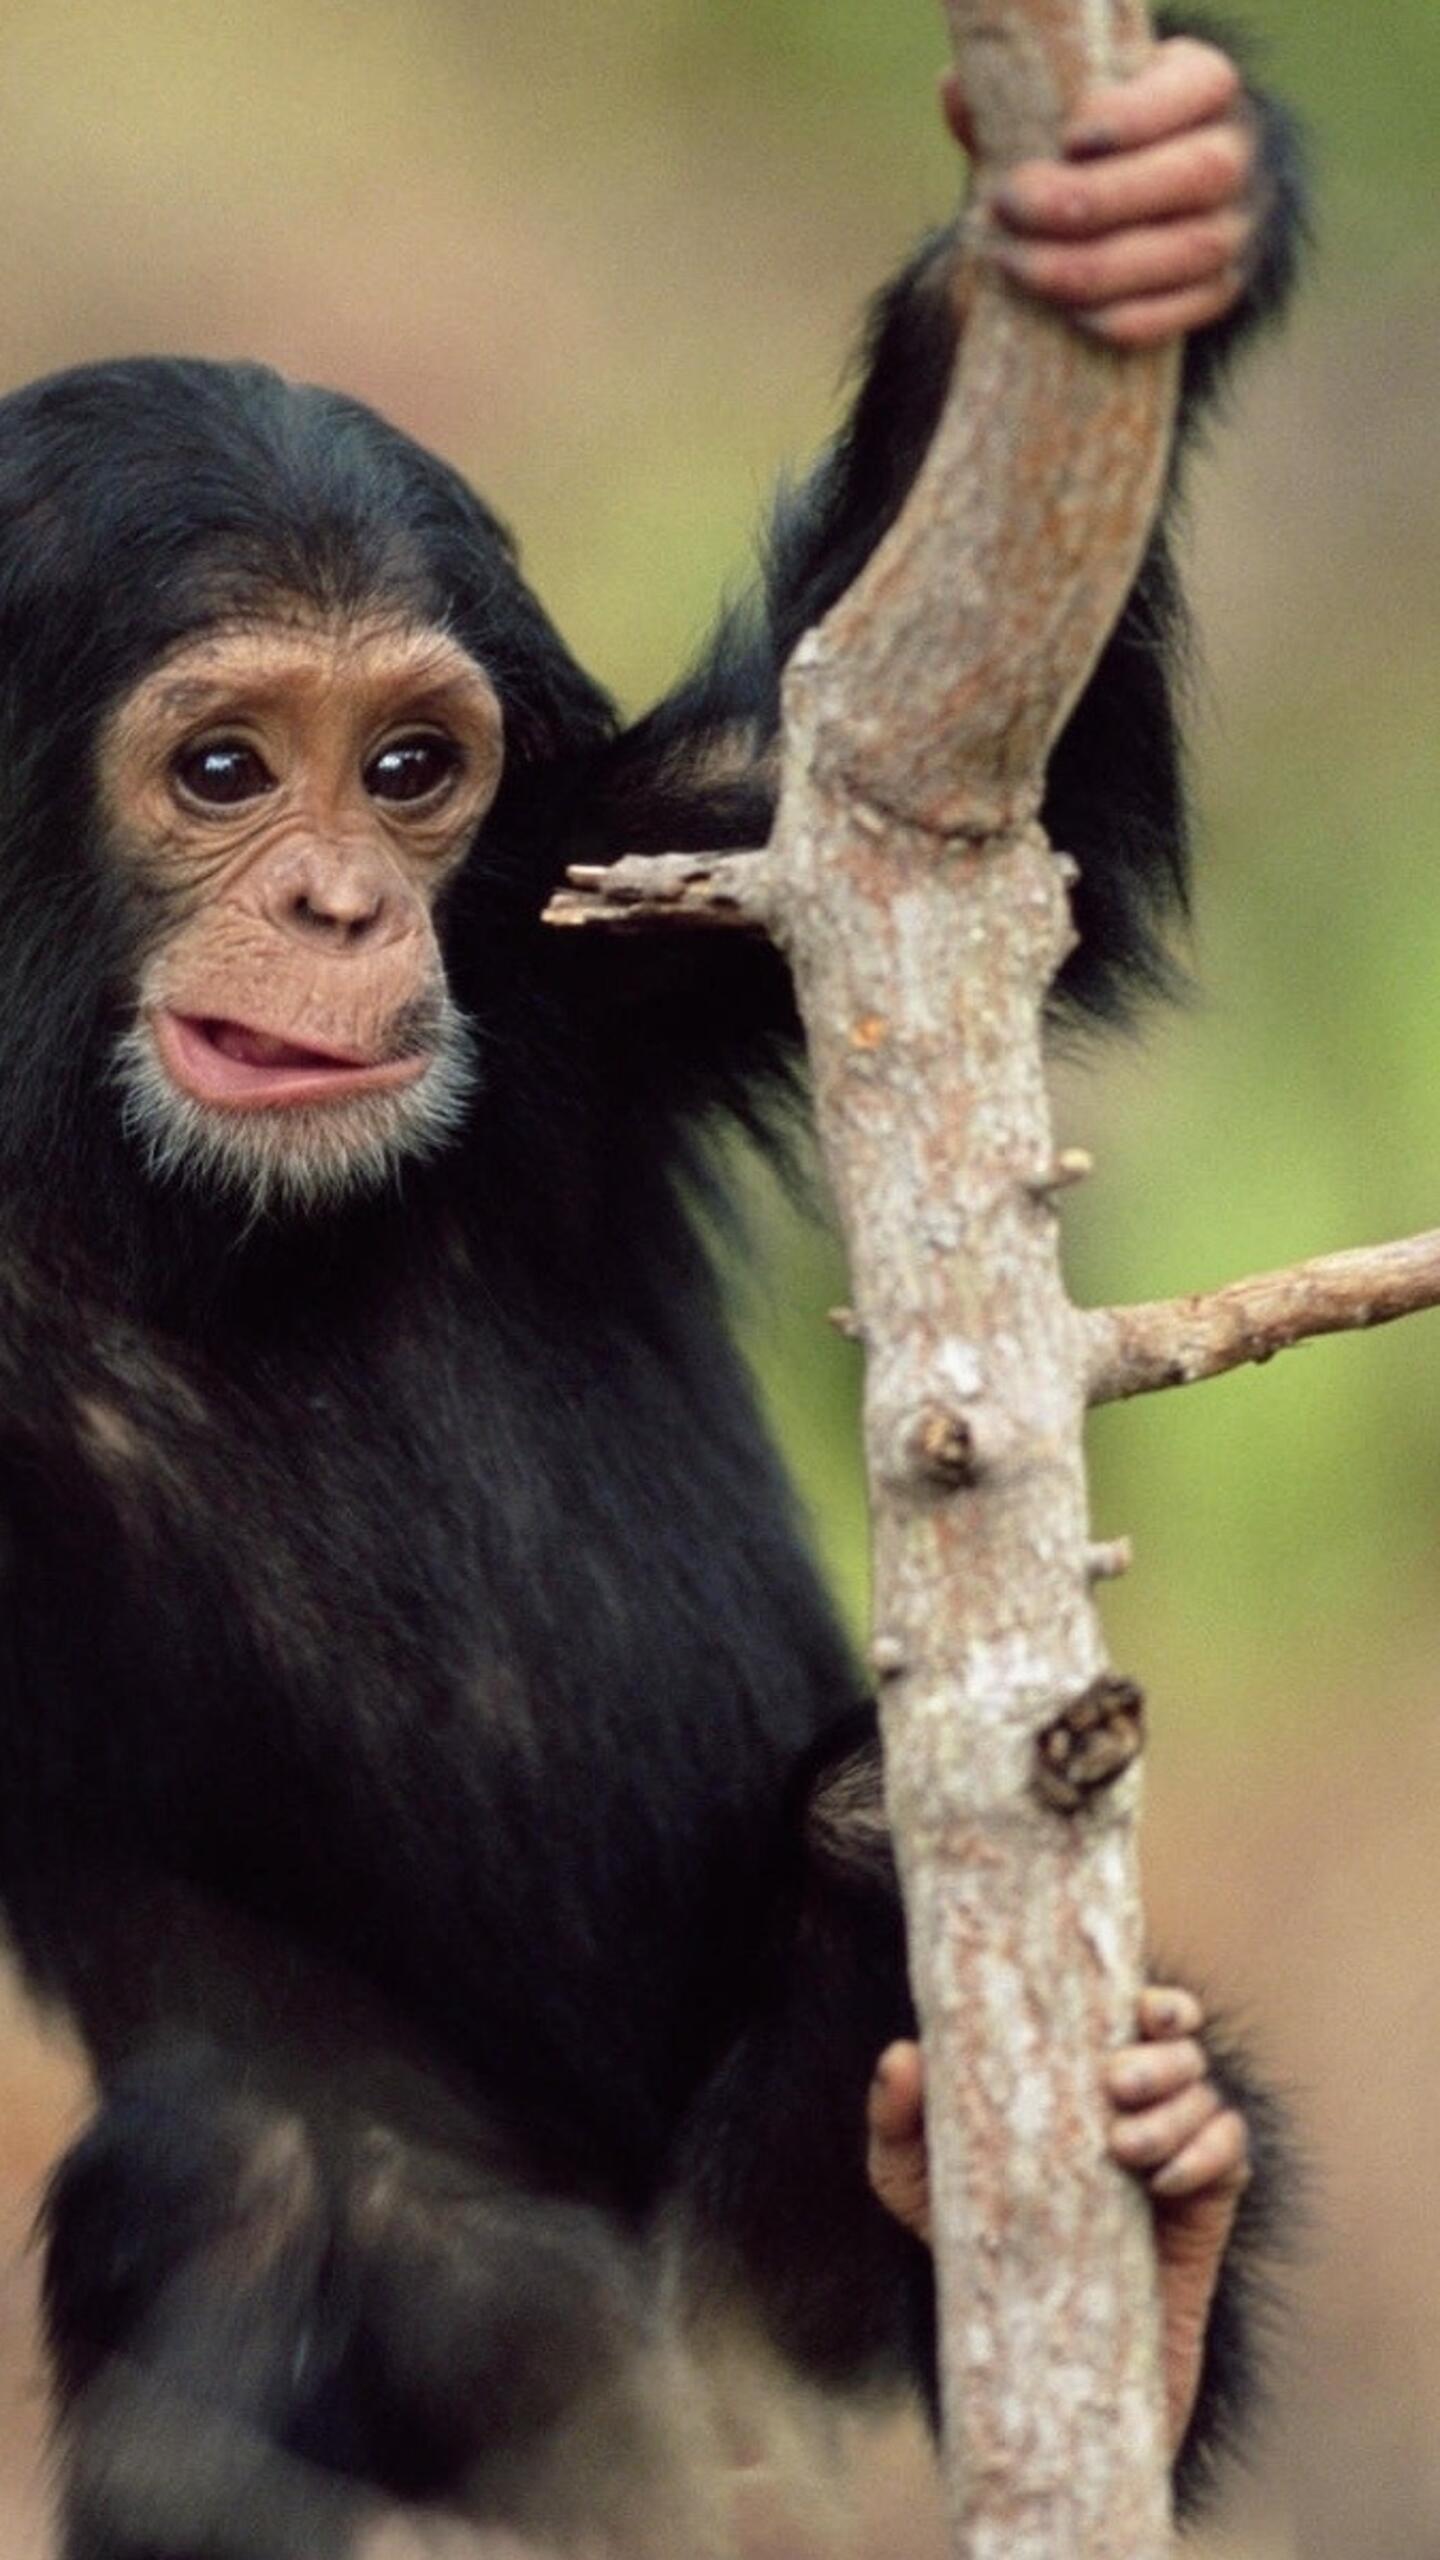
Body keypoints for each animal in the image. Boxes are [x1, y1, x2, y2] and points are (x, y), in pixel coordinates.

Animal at [0, 21, 1306, 2557]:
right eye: (224, 764)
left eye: (411, 766)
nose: (337, 904)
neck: (151, 1193)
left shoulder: (597, 911)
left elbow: (946, 773)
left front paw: (1153, 201)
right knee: (230, 2179)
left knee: (872, 1841)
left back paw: (1121, 2215)